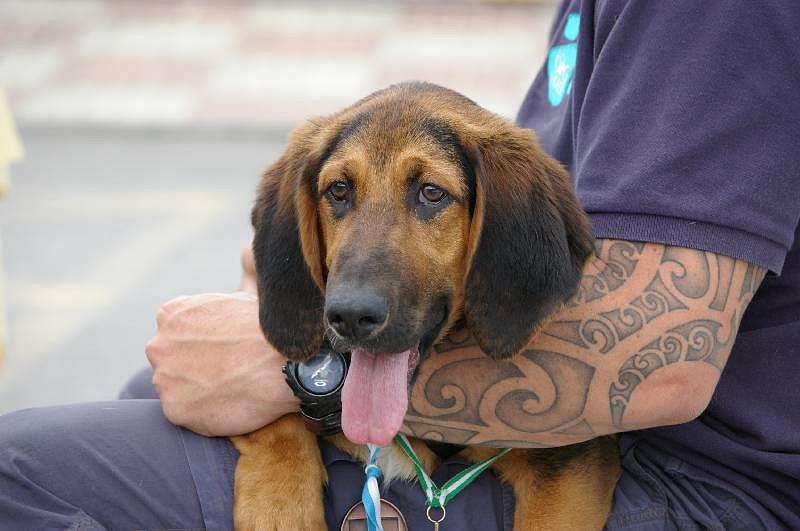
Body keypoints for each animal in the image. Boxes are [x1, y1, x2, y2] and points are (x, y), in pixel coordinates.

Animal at [232, 82, 621, 530]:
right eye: (339, 190)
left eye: (431, 193)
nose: (349, 316)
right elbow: (275, 425)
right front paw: (276, 505)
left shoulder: (570, 462)